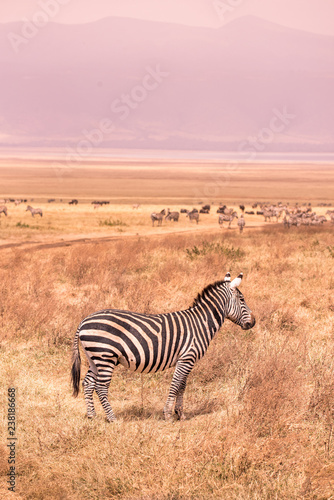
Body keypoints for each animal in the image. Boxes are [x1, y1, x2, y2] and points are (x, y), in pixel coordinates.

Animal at [71, 272, 256, 420]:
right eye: (242, 299)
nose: (253, 322)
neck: (201, 323)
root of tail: (83, 321)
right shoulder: (187, 357)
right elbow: (175, 385)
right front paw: (167, 414)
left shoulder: (186, 360)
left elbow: (182, 386)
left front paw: (180, 414)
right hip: (105, 356)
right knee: (101, 387)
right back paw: (112, 419)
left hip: (94, 358)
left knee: (88, 383)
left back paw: (92, 416)